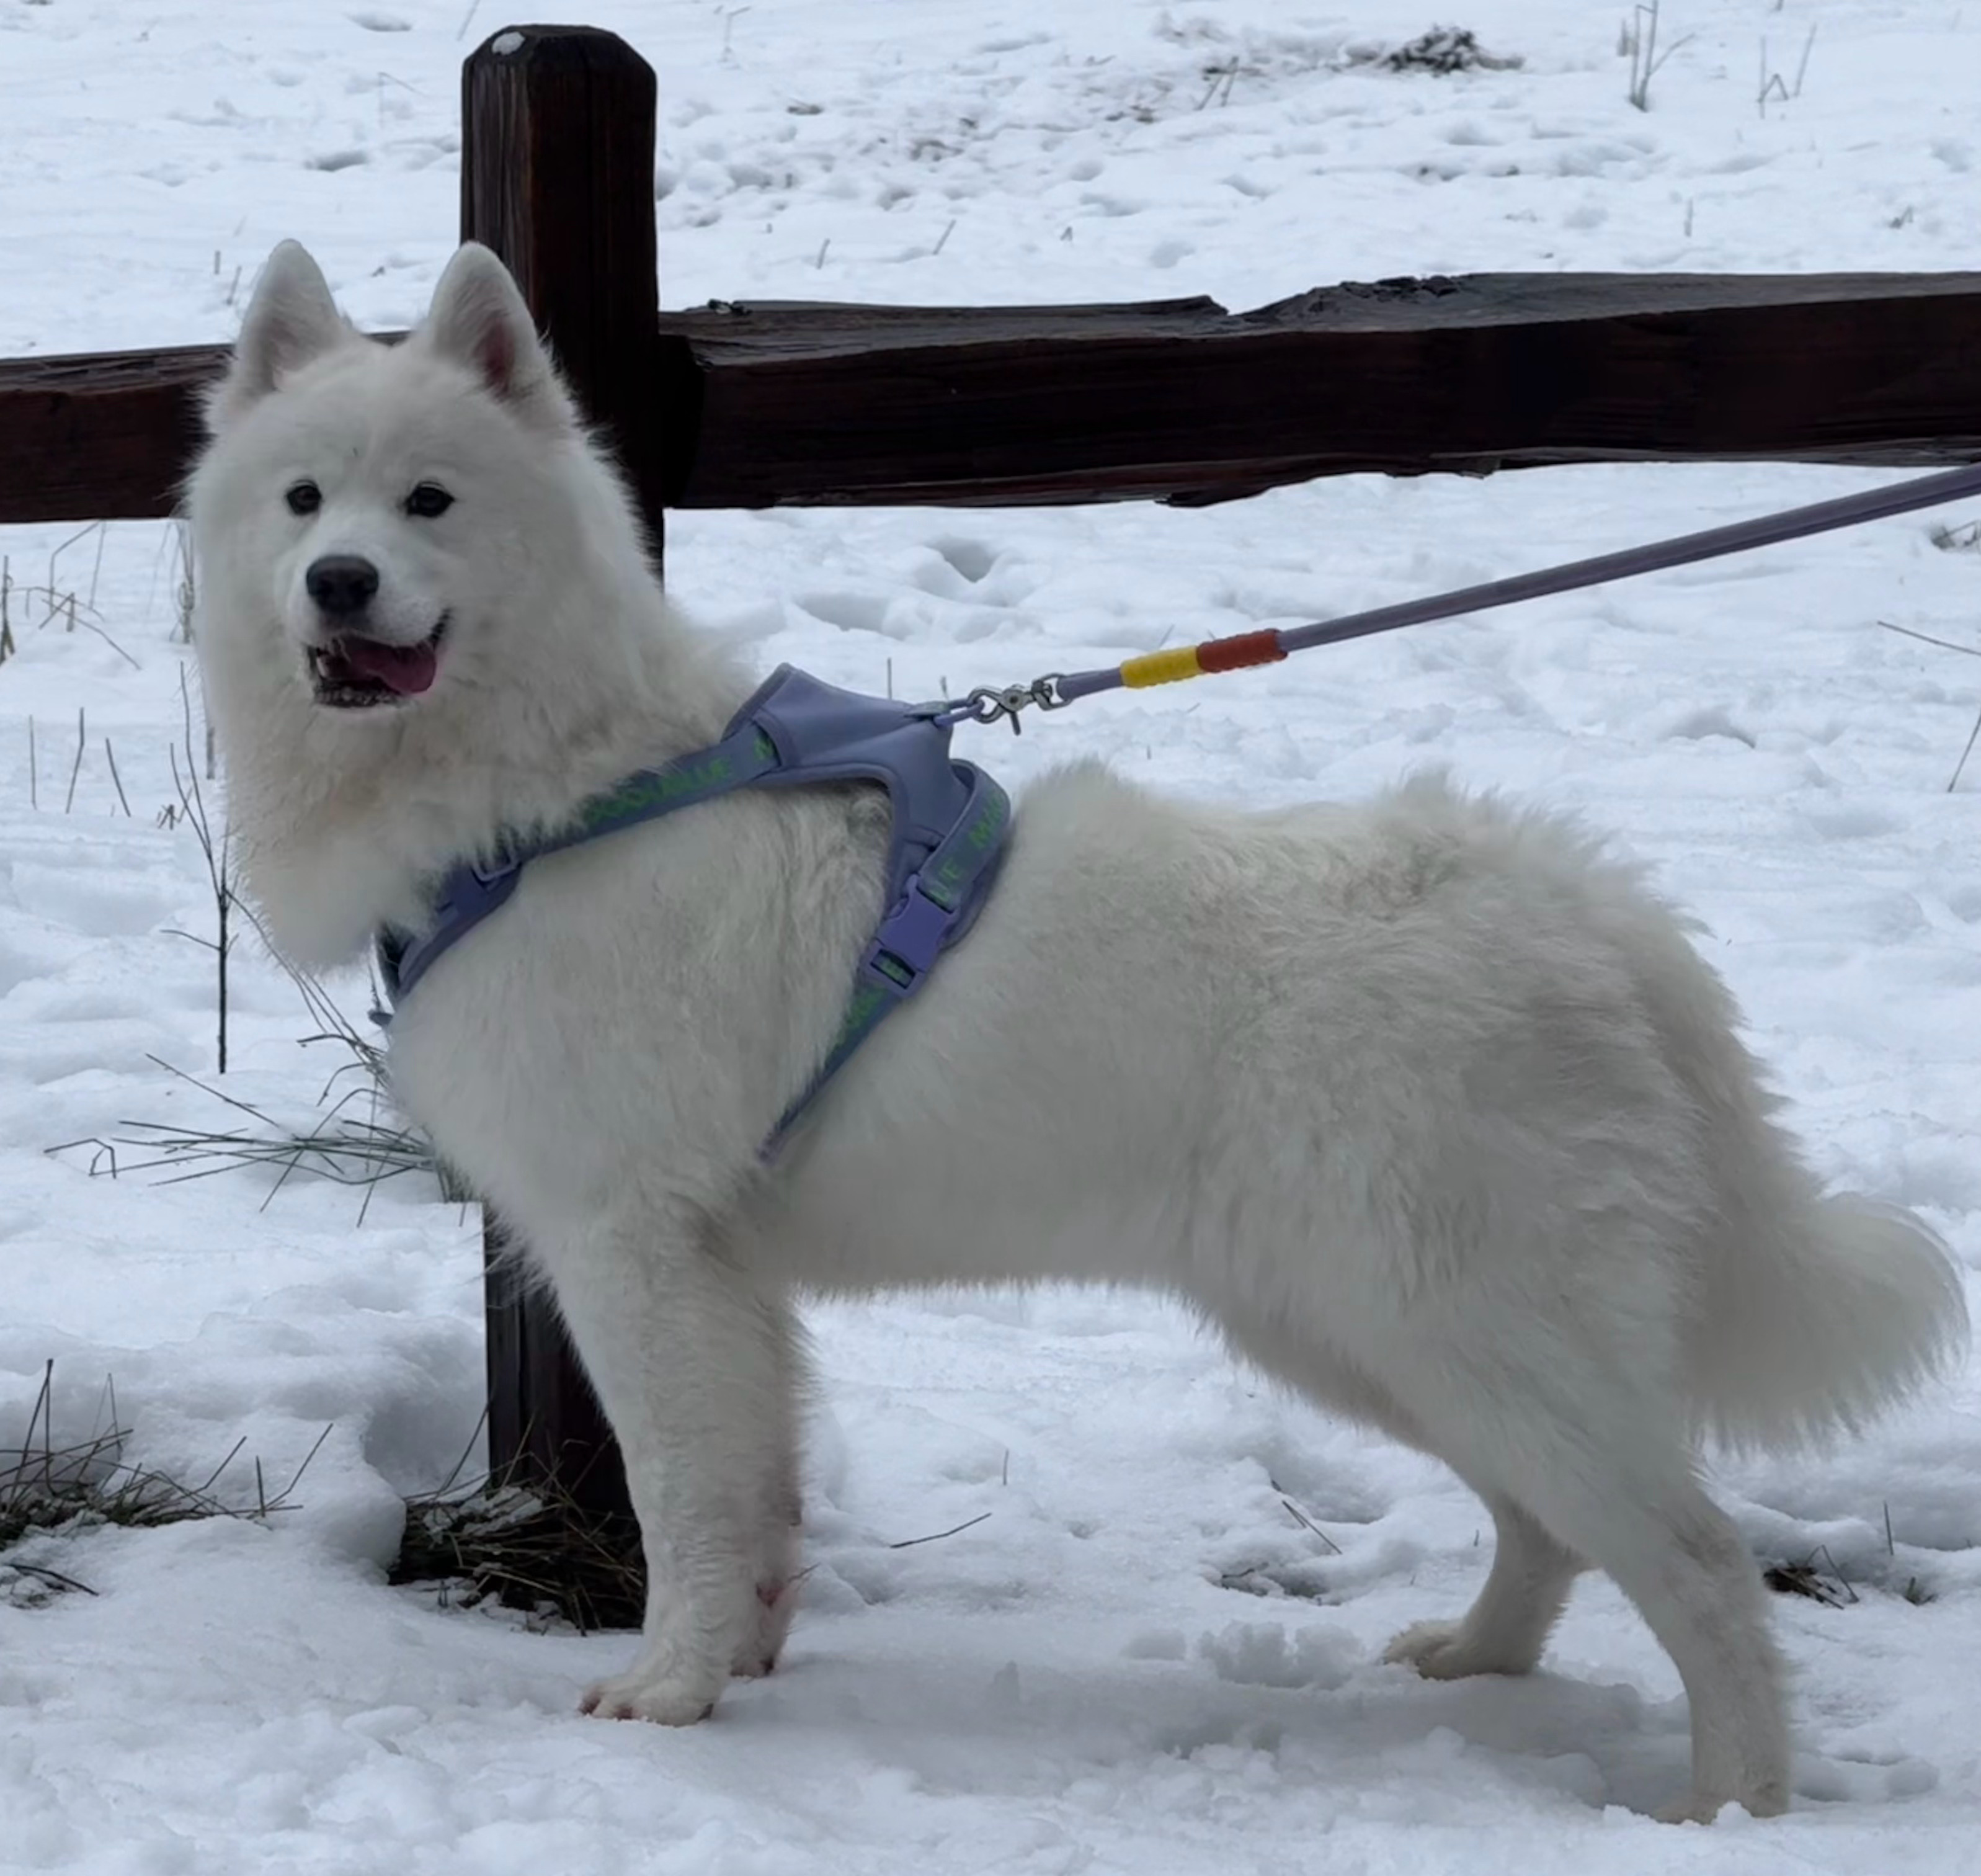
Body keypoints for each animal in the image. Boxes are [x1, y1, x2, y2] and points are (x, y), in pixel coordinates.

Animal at [189, 241, 1965, 1830]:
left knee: (1699, 1564)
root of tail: (1588, 910)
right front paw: (746, 1666)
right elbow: (758, 1501)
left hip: (1466, 1328)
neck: (572, 787)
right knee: (1556, 1531)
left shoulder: (640, 1252)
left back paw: (1728, 1808)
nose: (338, 587)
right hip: (1374, 1333)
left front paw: (667, 1697)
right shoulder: (726, 1280)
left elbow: (686, 1498)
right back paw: (1477, 1663)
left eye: (428, 503)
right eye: (303, 504)